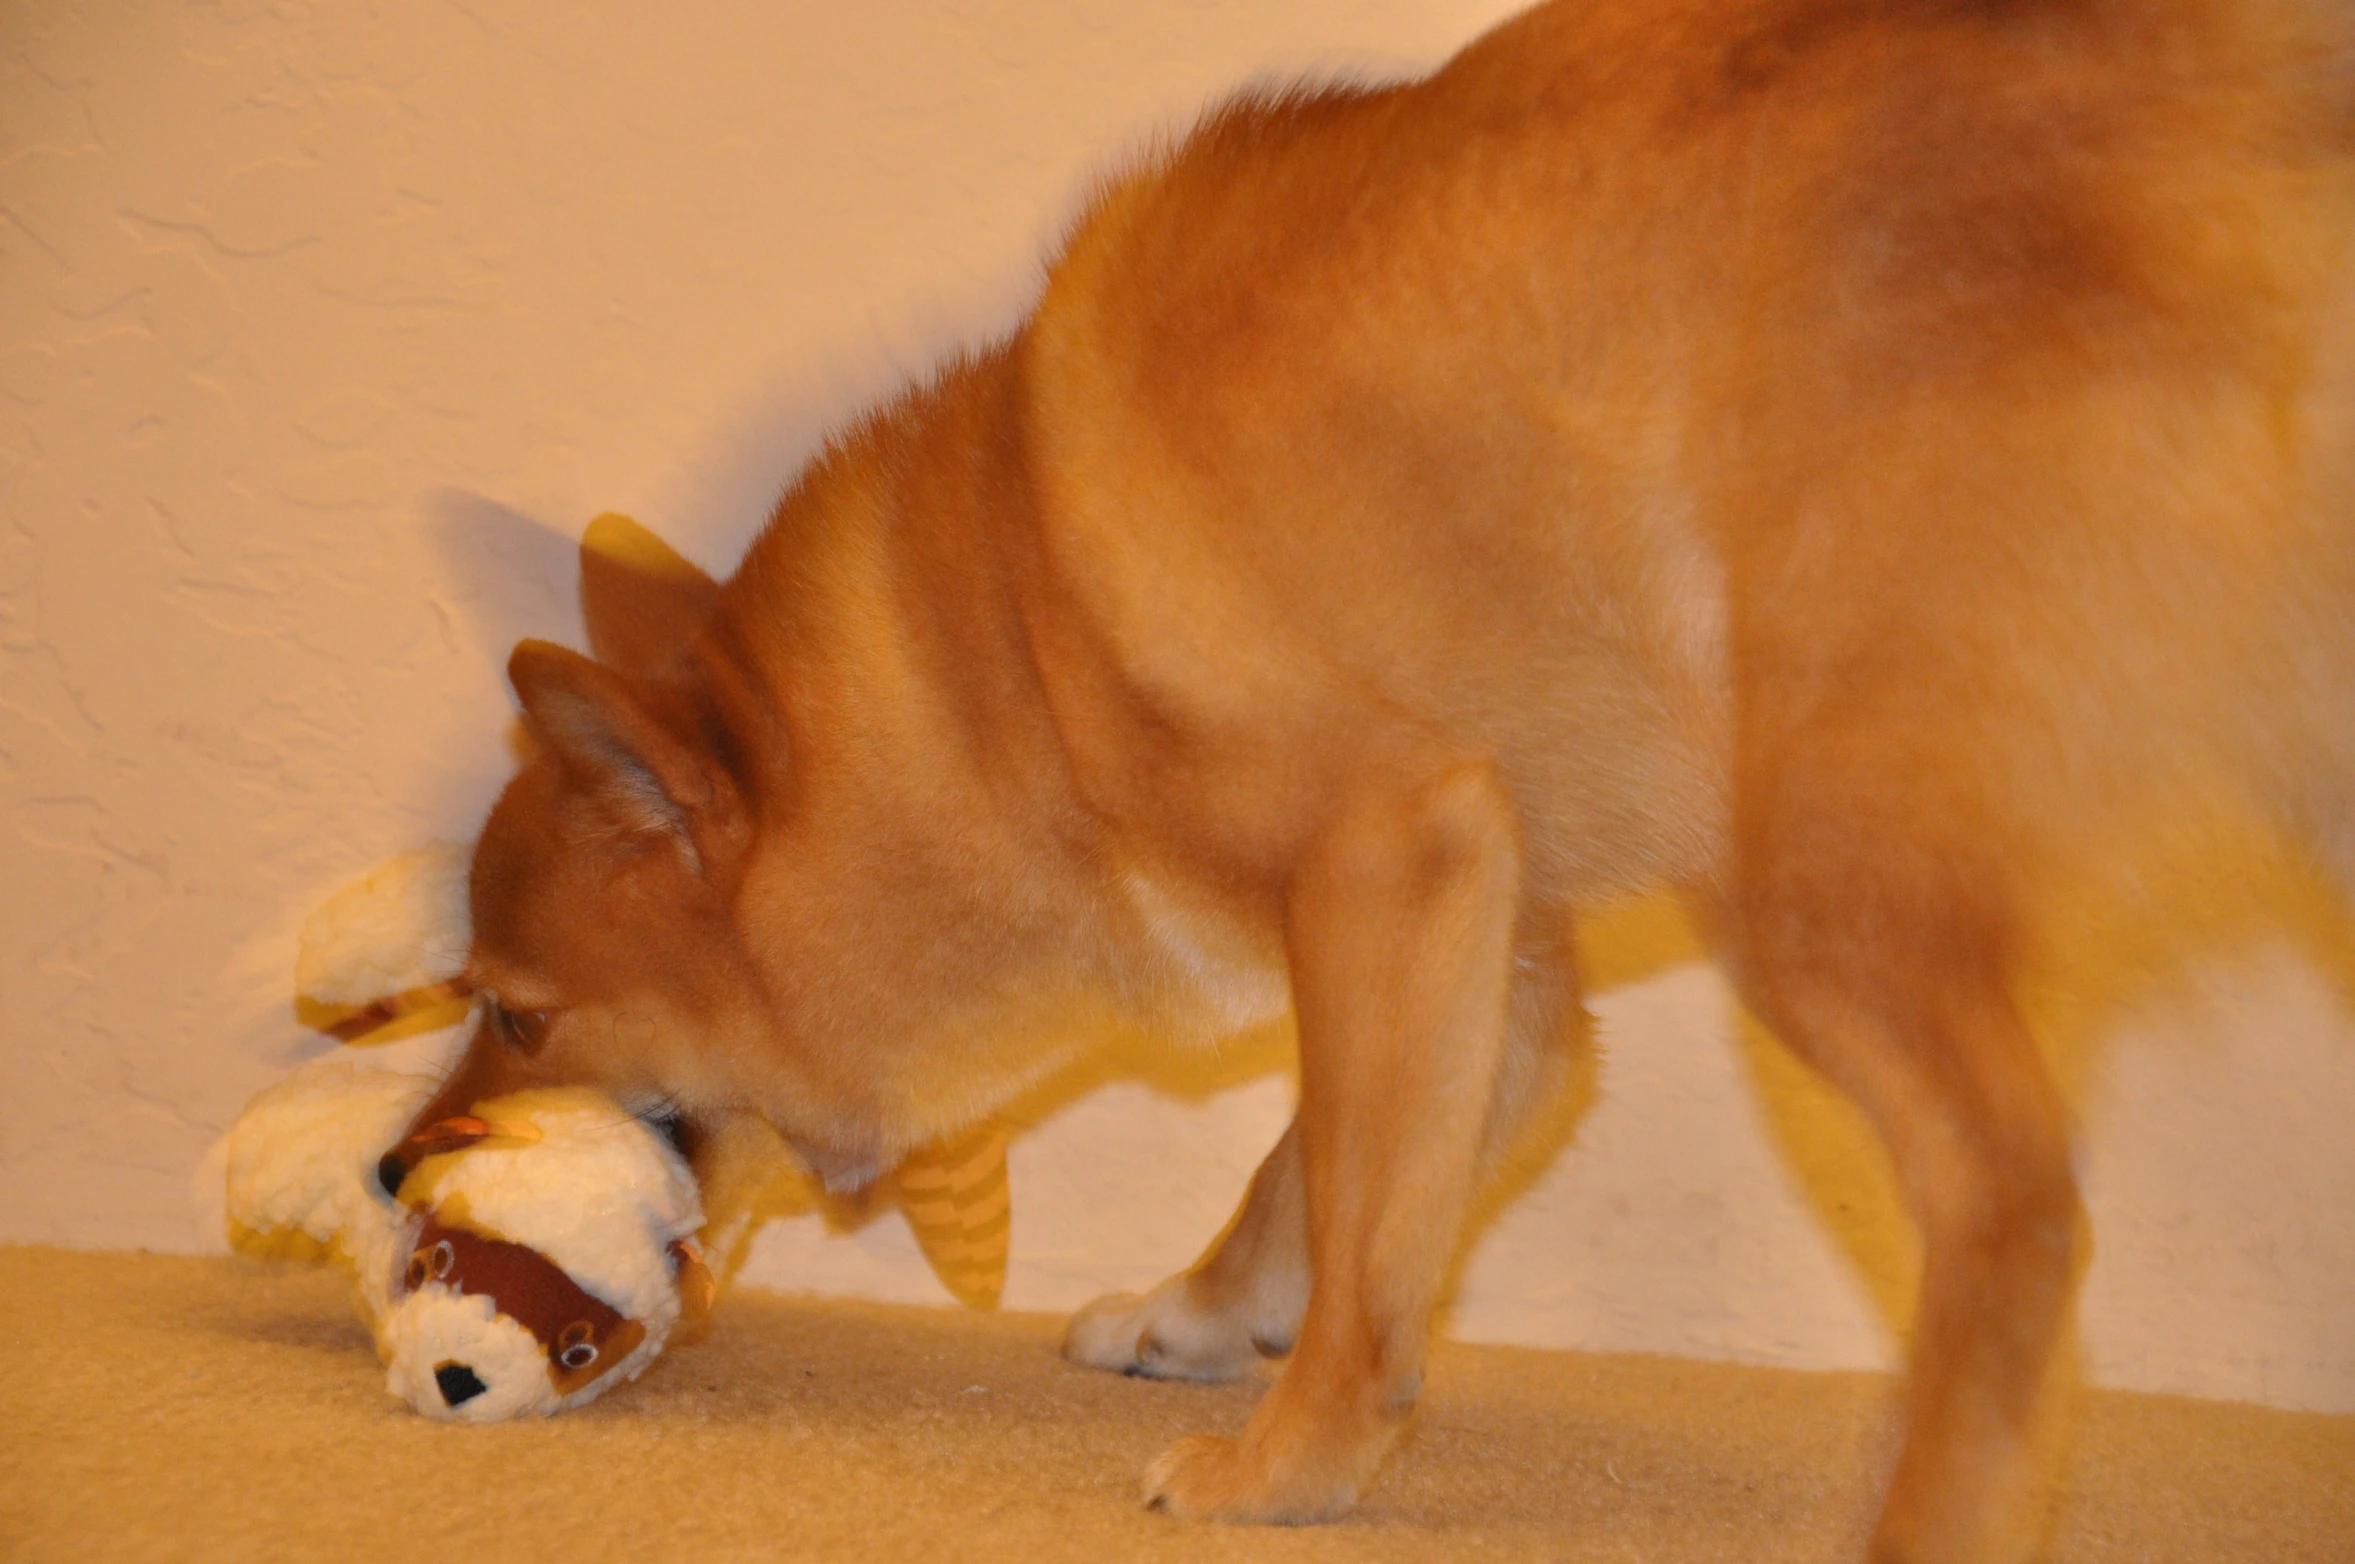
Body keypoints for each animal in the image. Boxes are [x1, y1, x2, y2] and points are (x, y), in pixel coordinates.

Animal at [395, 6, 2355, 1554]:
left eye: (518, 1013)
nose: (398, 1165)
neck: (1010, 630)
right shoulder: (1499, 961)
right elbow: (1319, 1185)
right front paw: (1197, 1317)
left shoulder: (1389, 869)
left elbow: (1350, 1228)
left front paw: (1289, 1461)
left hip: (1814, 887)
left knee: (2012, 1215)